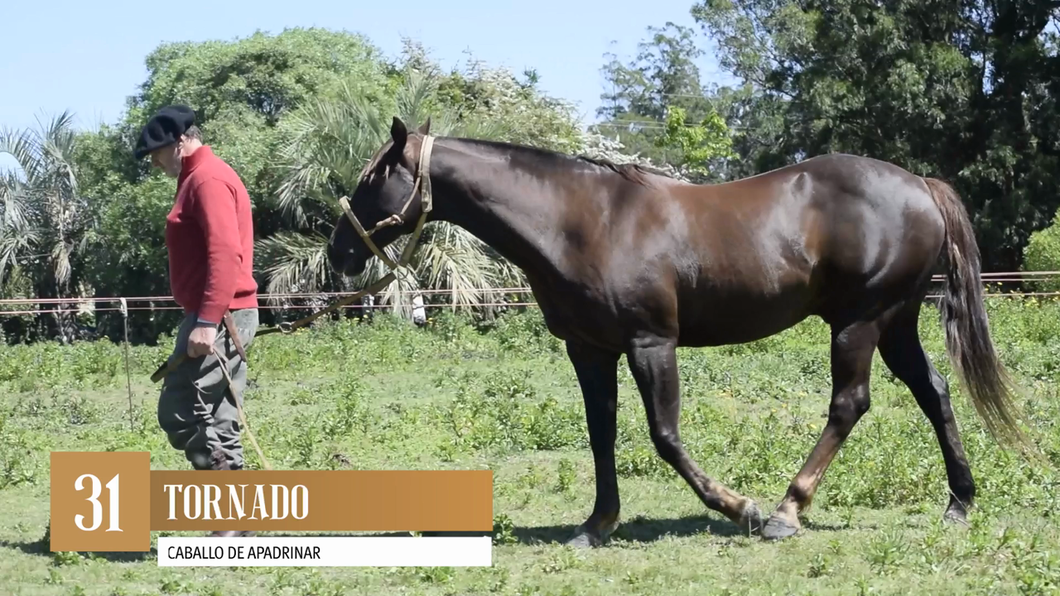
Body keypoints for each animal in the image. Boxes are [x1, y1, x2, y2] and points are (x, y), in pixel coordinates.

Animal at [322, 116, 1026, 542]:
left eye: (373, 179)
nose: (339, 253)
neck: (583, 220)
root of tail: (921, 185)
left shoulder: (650, 343)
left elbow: (664, 436)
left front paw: (738, 506)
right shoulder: (590, 350)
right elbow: (601, 434)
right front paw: (597, 524)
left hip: (859, 322)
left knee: (849, 403)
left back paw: (786, 510)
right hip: (894, 322)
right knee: (934, 391)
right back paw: (959, 502)